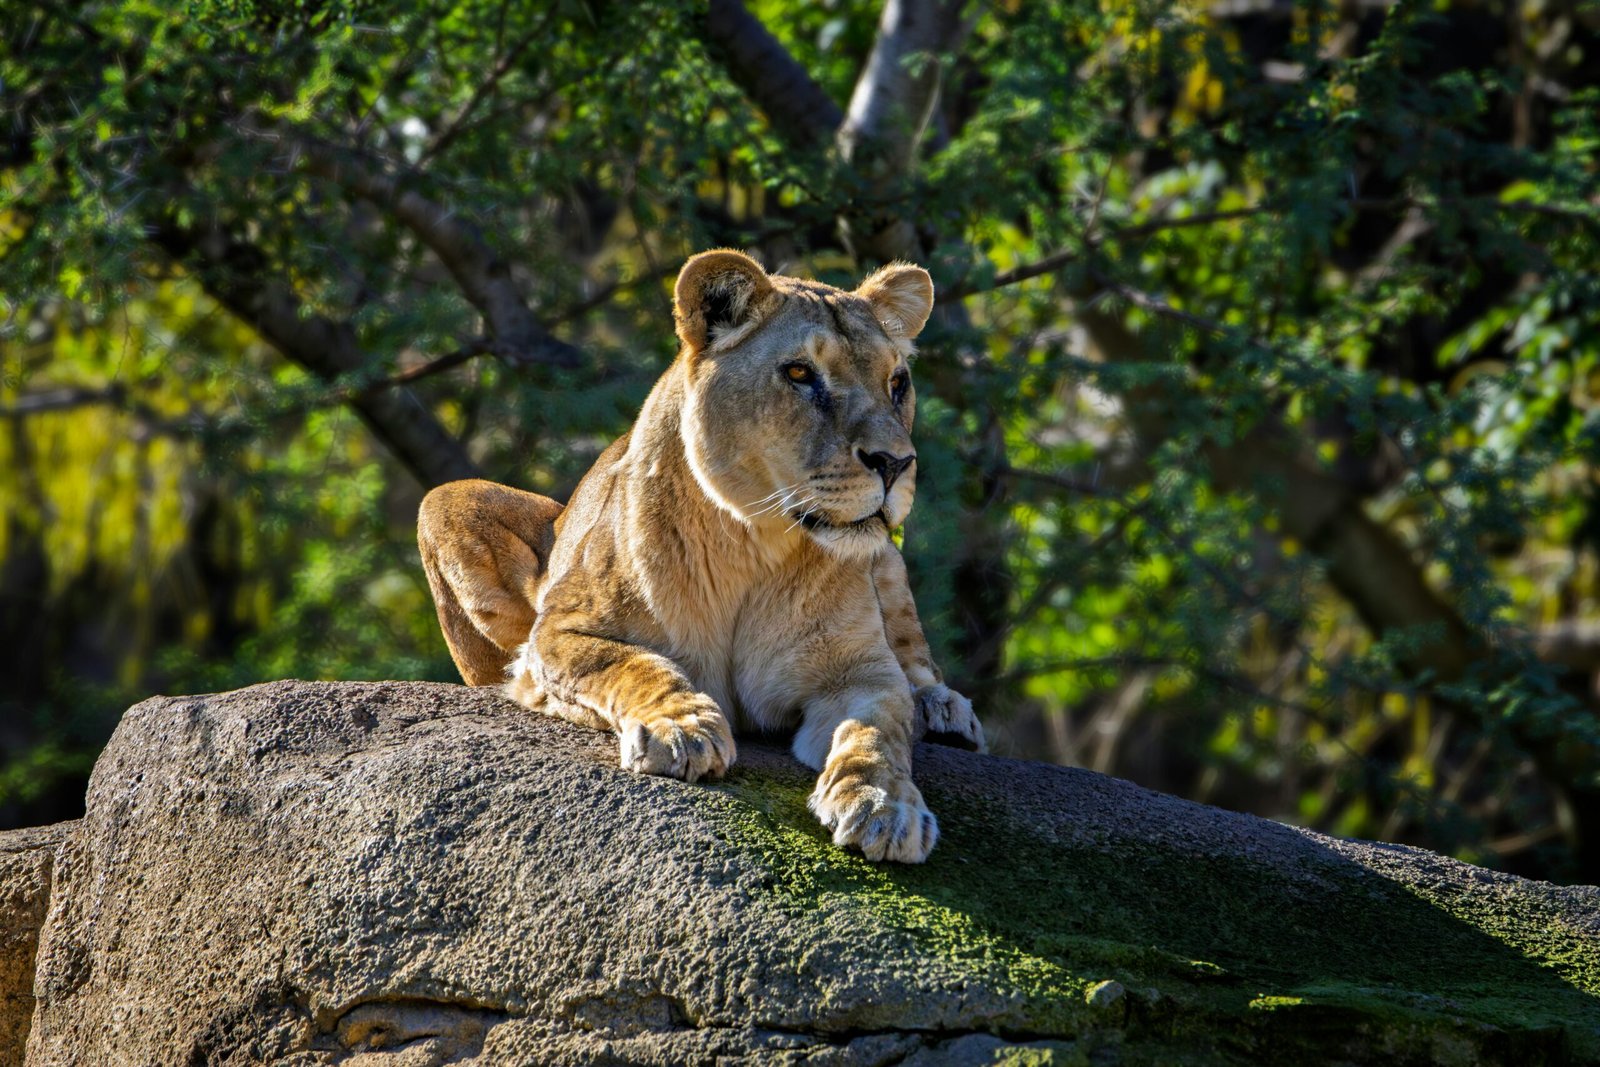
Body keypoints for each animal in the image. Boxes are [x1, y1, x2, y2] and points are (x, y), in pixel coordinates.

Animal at [417, 249, 983, 863]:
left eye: (897, 382)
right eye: (800, 374)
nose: (895, 463)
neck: (755, 548)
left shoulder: (861, 672)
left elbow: (878, 730)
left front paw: (886, 805)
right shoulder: (559, 632)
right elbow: (633, 664)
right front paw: (680, 729)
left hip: (888, 563)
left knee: (915, 660)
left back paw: (943, 710)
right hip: (444, 500)